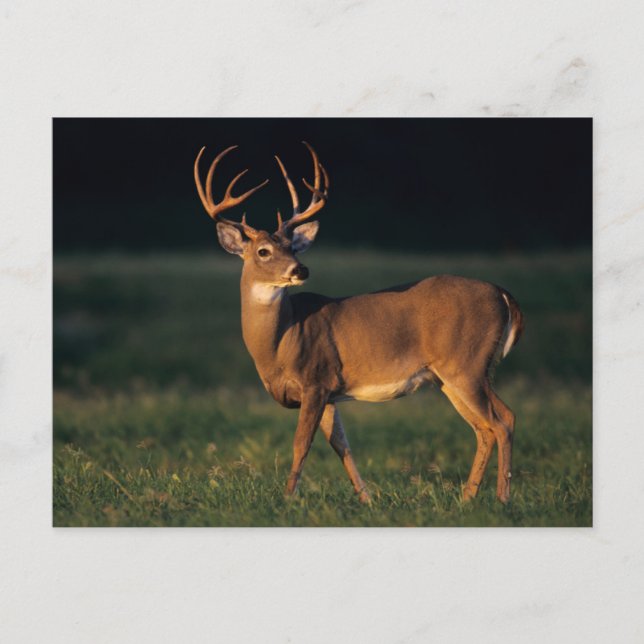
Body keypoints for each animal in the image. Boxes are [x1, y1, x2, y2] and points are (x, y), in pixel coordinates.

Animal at [193, 142, 524, 505]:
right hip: (448, 376)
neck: (280, 342)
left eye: (293, 246)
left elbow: (301, 444)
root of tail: (503, 293)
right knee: (486, 427)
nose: (300, 269)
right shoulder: (329, 392)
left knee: (502, 420)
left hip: (467, 364)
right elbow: (342, 446)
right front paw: (366, 499)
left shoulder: (316, 379)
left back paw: (502, 497)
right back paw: (467, 498)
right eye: (263, 251)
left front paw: (288, 498)